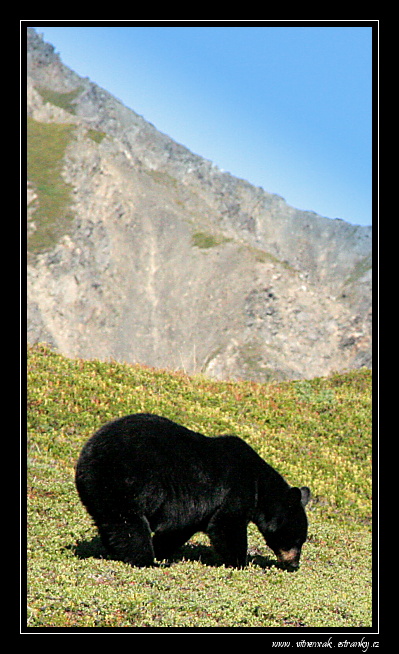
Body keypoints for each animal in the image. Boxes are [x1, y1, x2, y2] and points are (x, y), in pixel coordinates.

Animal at [76, 418, 312, 572]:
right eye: (297, 539)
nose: (294, 564)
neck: (258, 484)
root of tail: (88, 456)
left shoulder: (194, 510)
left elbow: (178, 530)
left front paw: (162, 550)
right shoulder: (234, 490)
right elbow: (227, 525)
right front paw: (241, 563)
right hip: (128, 482)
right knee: (130, 525)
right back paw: (147, 561)